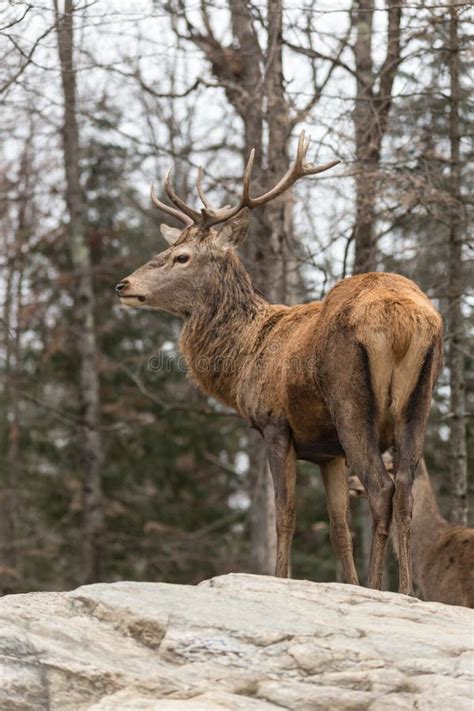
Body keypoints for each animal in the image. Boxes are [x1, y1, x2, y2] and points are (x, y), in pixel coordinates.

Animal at [116, 134, 442, 596]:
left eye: (182, 256)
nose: (123, 285)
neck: (244, 358)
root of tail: (403, 319)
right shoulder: (328, 452)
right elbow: (339, 528)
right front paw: (346, 581)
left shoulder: (274, 423)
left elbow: (284, 514)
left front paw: (281, 576)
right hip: (420, 401)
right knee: (408, 490)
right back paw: (406, 592)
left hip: (351, 400)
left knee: (383, 488)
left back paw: (378, 587)